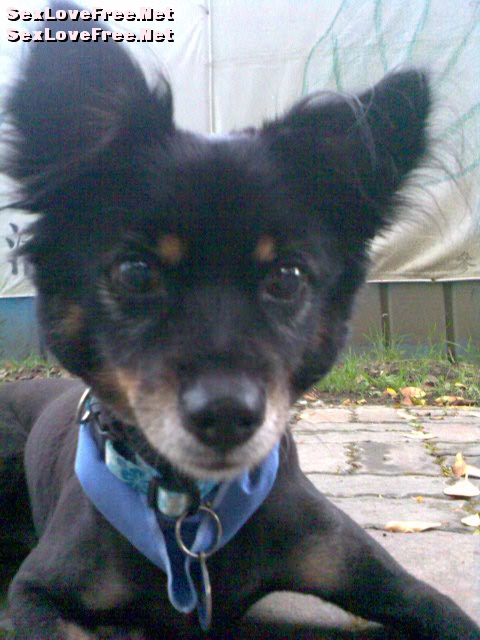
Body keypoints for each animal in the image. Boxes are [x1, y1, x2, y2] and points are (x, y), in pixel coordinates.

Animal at [0, 6, 478, 639]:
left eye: (287, 277)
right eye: (135, 272)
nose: (227, 415)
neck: (188, 509)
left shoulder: (374, 573)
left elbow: (444, 609)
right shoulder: (37, 590)